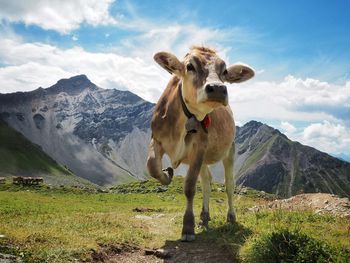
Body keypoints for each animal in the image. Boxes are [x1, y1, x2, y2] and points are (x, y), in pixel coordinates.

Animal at [148, 46, 254, 241]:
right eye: (190, 66)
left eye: (224, 71)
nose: (217, 88)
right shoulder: (156, 139)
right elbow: (152, 167)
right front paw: (167, 174)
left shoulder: (199, 148)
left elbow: (190, 187)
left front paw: (188, 228)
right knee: (207, 181)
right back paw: (204, 217)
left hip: (229, 150)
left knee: (229, 184)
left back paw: (231, 217)